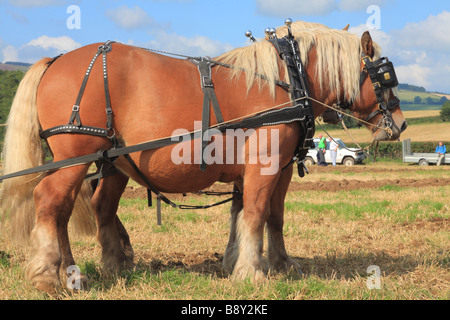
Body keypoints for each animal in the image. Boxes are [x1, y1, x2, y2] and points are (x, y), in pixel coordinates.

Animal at [0, 21, 408, 292]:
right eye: (385, 76)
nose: (401, 124)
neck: (287, 82)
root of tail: (56, 59)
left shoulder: (271, 168)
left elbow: (263, 215)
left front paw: (271, 263)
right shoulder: (266, 162)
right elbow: (257, 213)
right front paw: (252, 272)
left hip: (110, 161)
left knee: (87, 207)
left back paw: (95, 268)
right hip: (77, 155)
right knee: (50, 201)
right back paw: (50, 274)